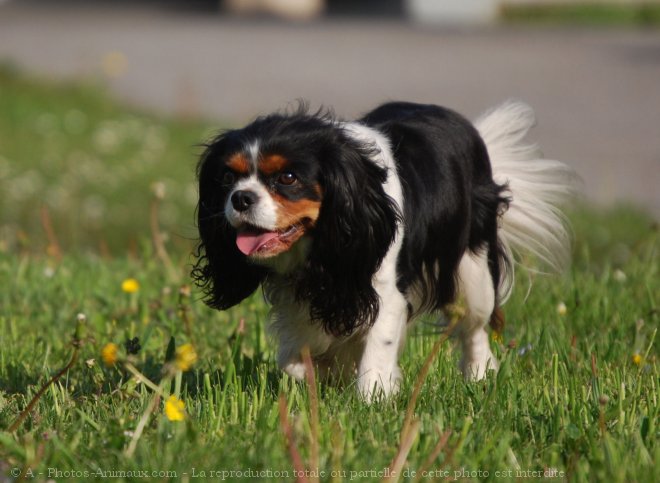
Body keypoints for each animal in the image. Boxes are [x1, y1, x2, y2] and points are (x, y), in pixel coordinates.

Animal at [192, 101, 576, 400]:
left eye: (287, 178)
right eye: (227, 177)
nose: (240, 198)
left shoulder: (387, 292)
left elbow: (377, 351)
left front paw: (371, 398)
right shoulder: (301, 299)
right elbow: (294, 358)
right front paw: (327, 371)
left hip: (473, 273)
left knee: (475, 328)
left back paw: (479, 374)